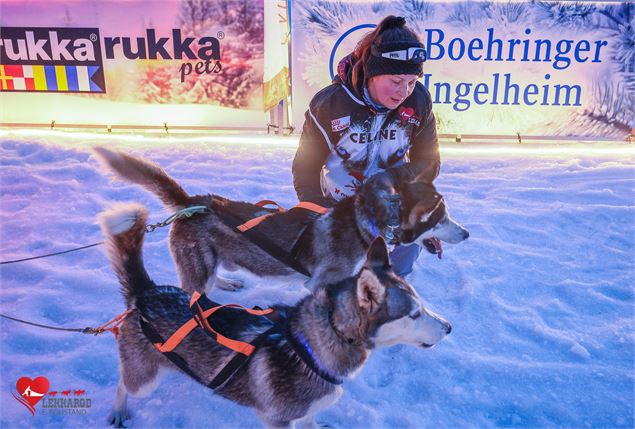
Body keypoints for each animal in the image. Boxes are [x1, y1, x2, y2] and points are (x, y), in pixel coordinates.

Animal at [93, 148, 468, 294]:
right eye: (441, 217)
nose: (466, 233)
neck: (366, 222)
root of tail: (192, 203)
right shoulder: (320, 284)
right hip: (197, 266)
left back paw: (227, 283)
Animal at [100, 202, 452, 426]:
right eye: (414, 314)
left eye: (422, 305)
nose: (449, 327)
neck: (314, 346)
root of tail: (148, 292)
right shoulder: (276, 420)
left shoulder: (306, 415)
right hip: (143, 380)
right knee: (123, 384)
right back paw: (118, 411)